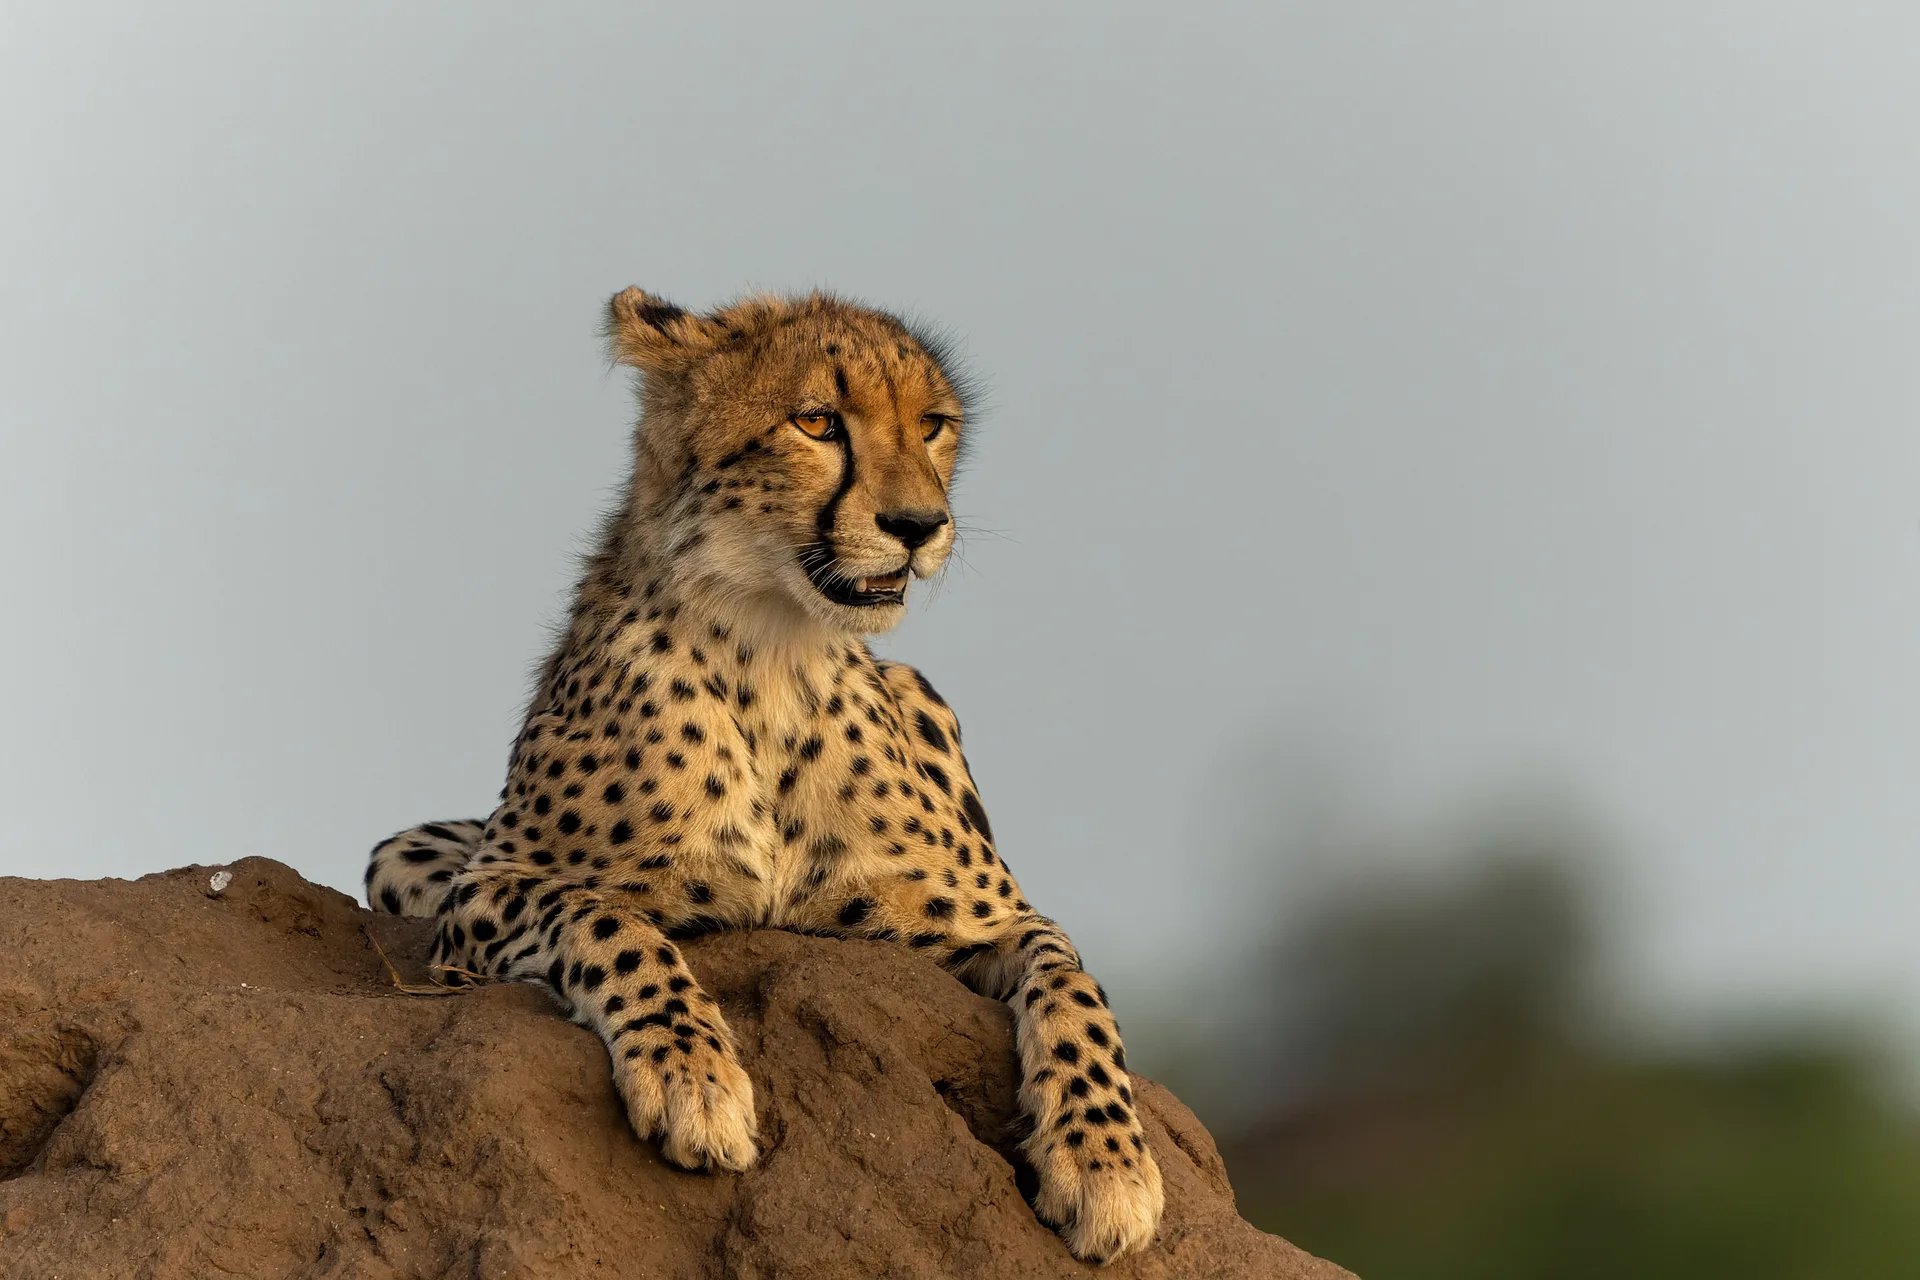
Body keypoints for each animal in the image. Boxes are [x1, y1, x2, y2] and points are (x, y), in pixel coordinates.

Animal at [365, 287, 1164, 1263]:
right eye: (817, 422)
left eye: (932, 426)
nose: (918, 527)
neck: (773, 649)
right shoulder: (485, 890)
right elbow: (610, 920)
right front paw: (692, 1077)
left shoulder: (983, 920)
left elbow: (1076, 987)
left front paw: (1105, 1164)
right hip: (401, 857)